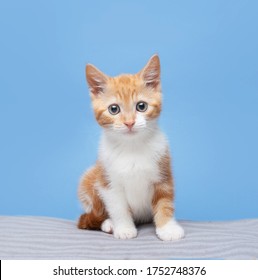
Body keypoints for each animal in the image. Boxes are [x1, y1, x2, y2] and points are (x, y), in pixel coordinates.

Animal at [77, 54, 184, 241]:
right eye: (114, 109)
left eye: (141, 106)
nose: (129, 122)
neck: (132, 146)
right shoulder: (108, 179)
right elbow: (118, 207)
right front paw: (124, 228)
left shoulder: (163, 173)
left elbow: (165, 202)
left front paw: (167, 228)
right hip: (89, 177)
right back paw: (108, 223)